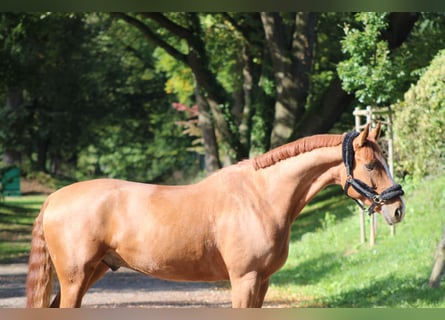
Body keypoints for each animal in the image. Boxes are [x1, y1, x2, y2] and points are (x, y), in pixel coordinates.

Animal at [26, 123, 404, 308]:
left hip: (93, 272)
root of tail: (54, 198)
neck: (261, 198)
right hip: (75, 277)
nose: (397, 208)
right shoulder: (244, 279)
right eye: (372, 164)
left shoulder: (262, 281)